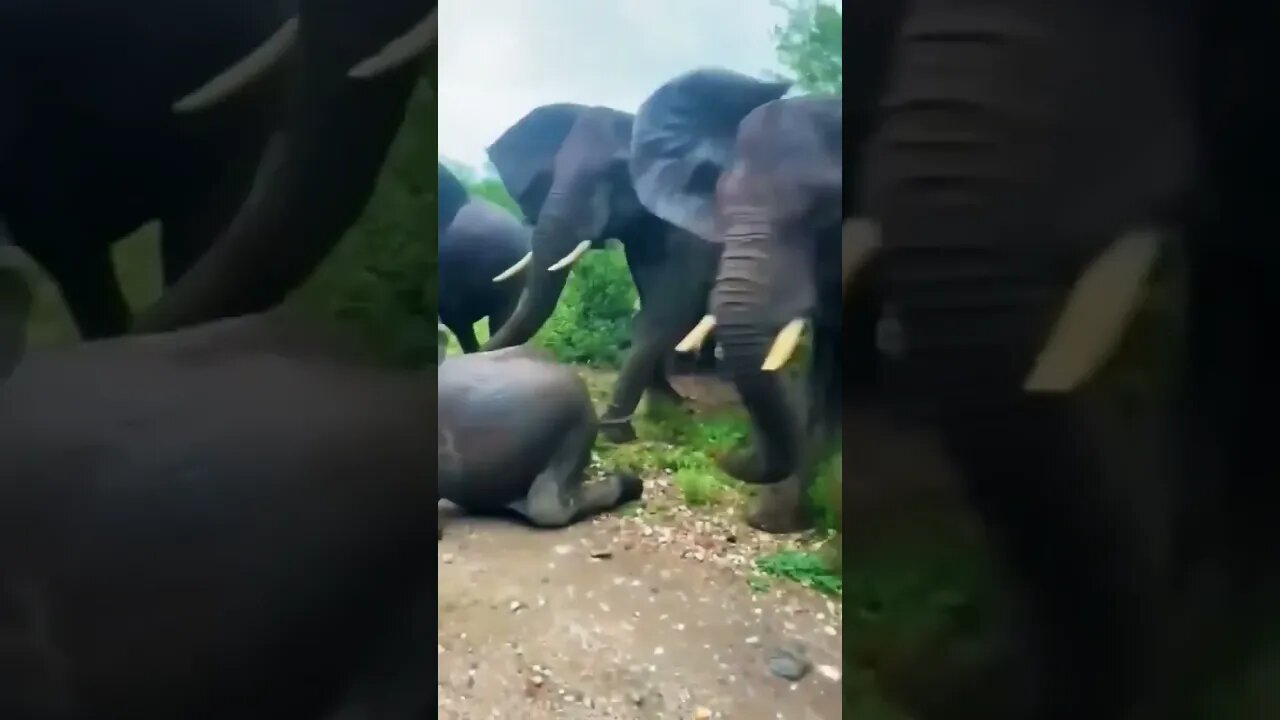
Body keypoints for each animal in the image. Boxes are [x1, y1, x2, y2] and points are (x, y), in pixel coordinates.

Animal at [478, 102, 723, 443]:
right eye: (553, 171)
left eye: (619, 174)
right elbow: (652, 306)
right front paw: (667, 408)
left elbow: (670, 307)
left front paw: (616, 432)